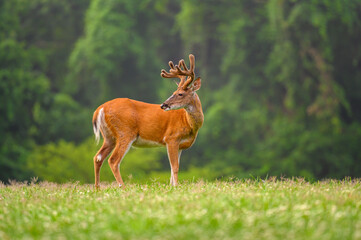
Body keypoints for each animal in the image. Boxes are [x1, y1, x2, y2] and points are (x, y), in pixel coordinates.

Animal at [91, 54, 202, 188]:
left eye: (180, 94)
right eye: (174, 92)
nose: (163, 105)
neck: (188, 123)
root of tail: (100, 109)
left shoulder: (180, 145)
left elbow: (173, 168)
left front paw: (172, 186)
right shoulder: (171, 138)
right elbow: (175, 167)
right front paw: (175, 186)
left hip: (109, 136)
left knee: (98, 157)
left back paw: (97, 188)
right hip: (125, 132)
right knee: (113, 160)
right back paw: (122, 187)